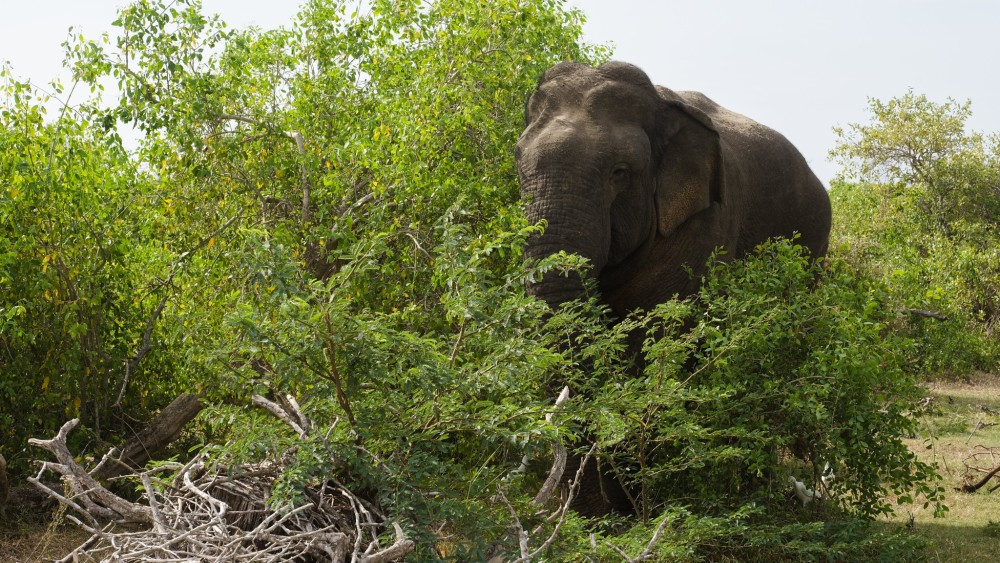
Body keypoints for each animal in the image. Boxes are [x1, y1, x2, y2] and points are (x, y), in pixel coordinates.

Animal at [512, 60, 832, 516]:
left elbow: (656, 342)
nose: (586, 515)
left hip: (812, 249)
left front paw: (638, 505)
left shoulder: (703, 227)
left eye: (619, 173)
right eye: (518, 166)